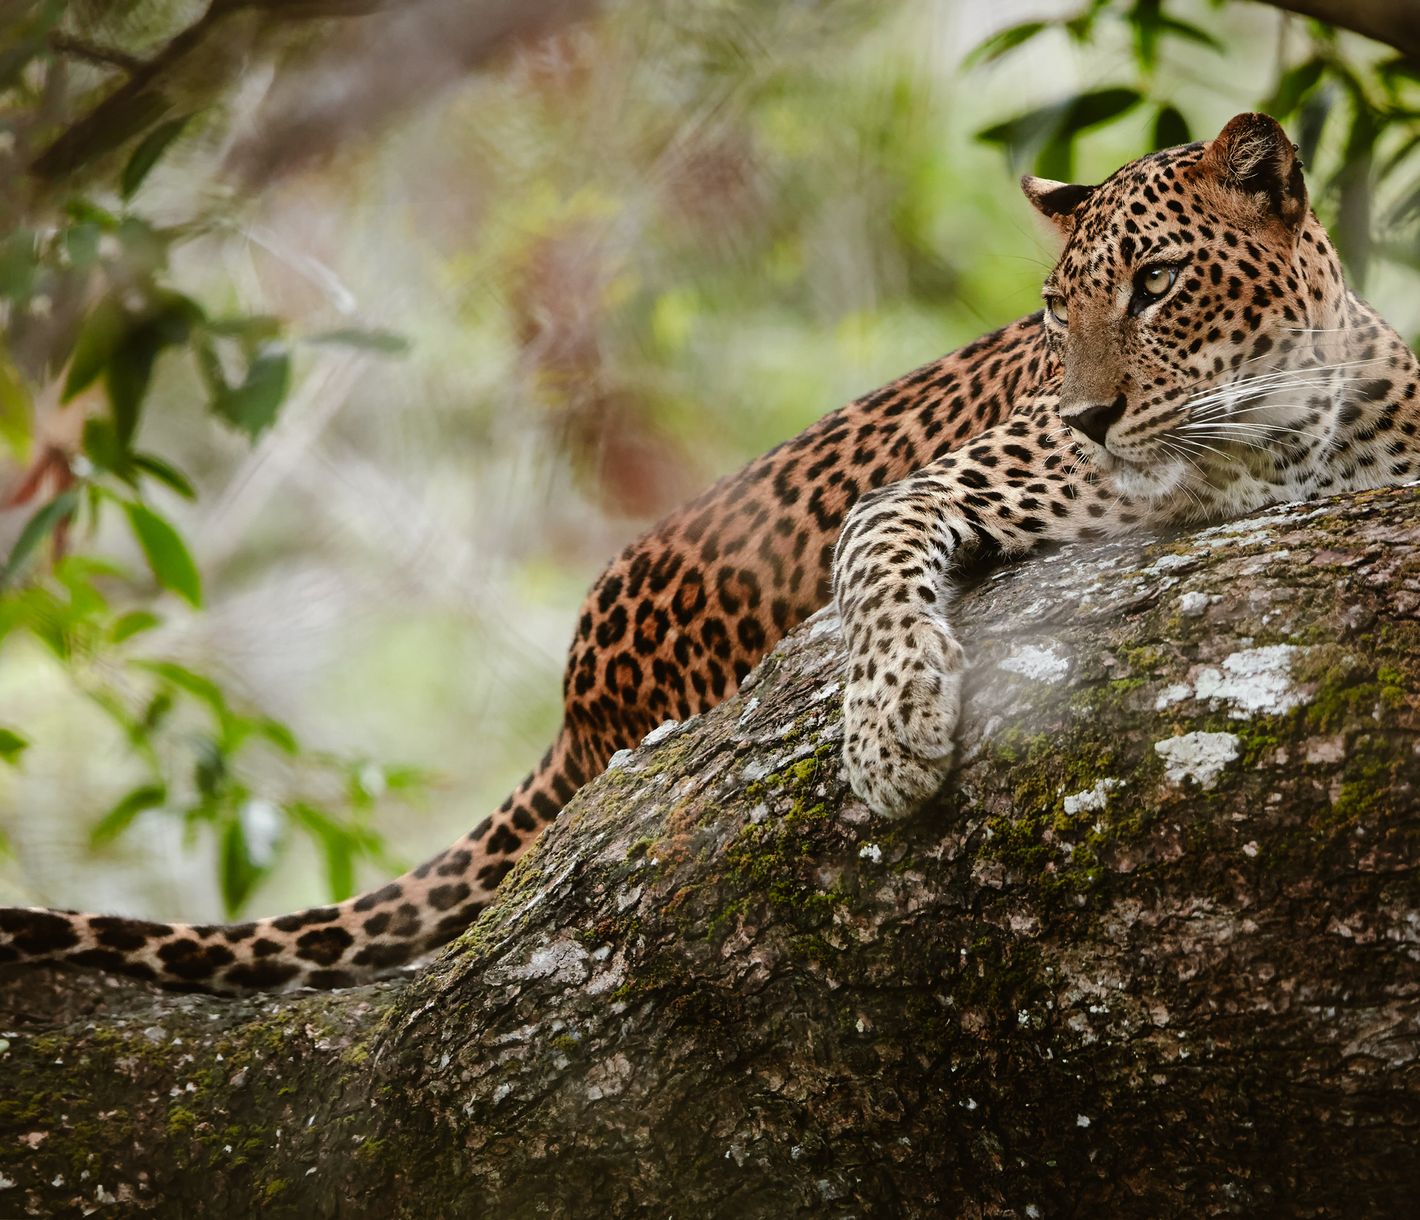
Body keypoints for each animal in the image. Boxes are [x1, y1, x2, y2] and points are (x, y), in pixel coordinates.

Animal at [1, 112, 1415, 994]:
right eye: (1055, 311)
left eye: (1157, 282)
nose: (1087, 415)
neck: (1287, 428)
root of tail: (576, 693)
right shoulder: (951, 480)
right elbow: (876, 551)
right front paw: (893, 732)